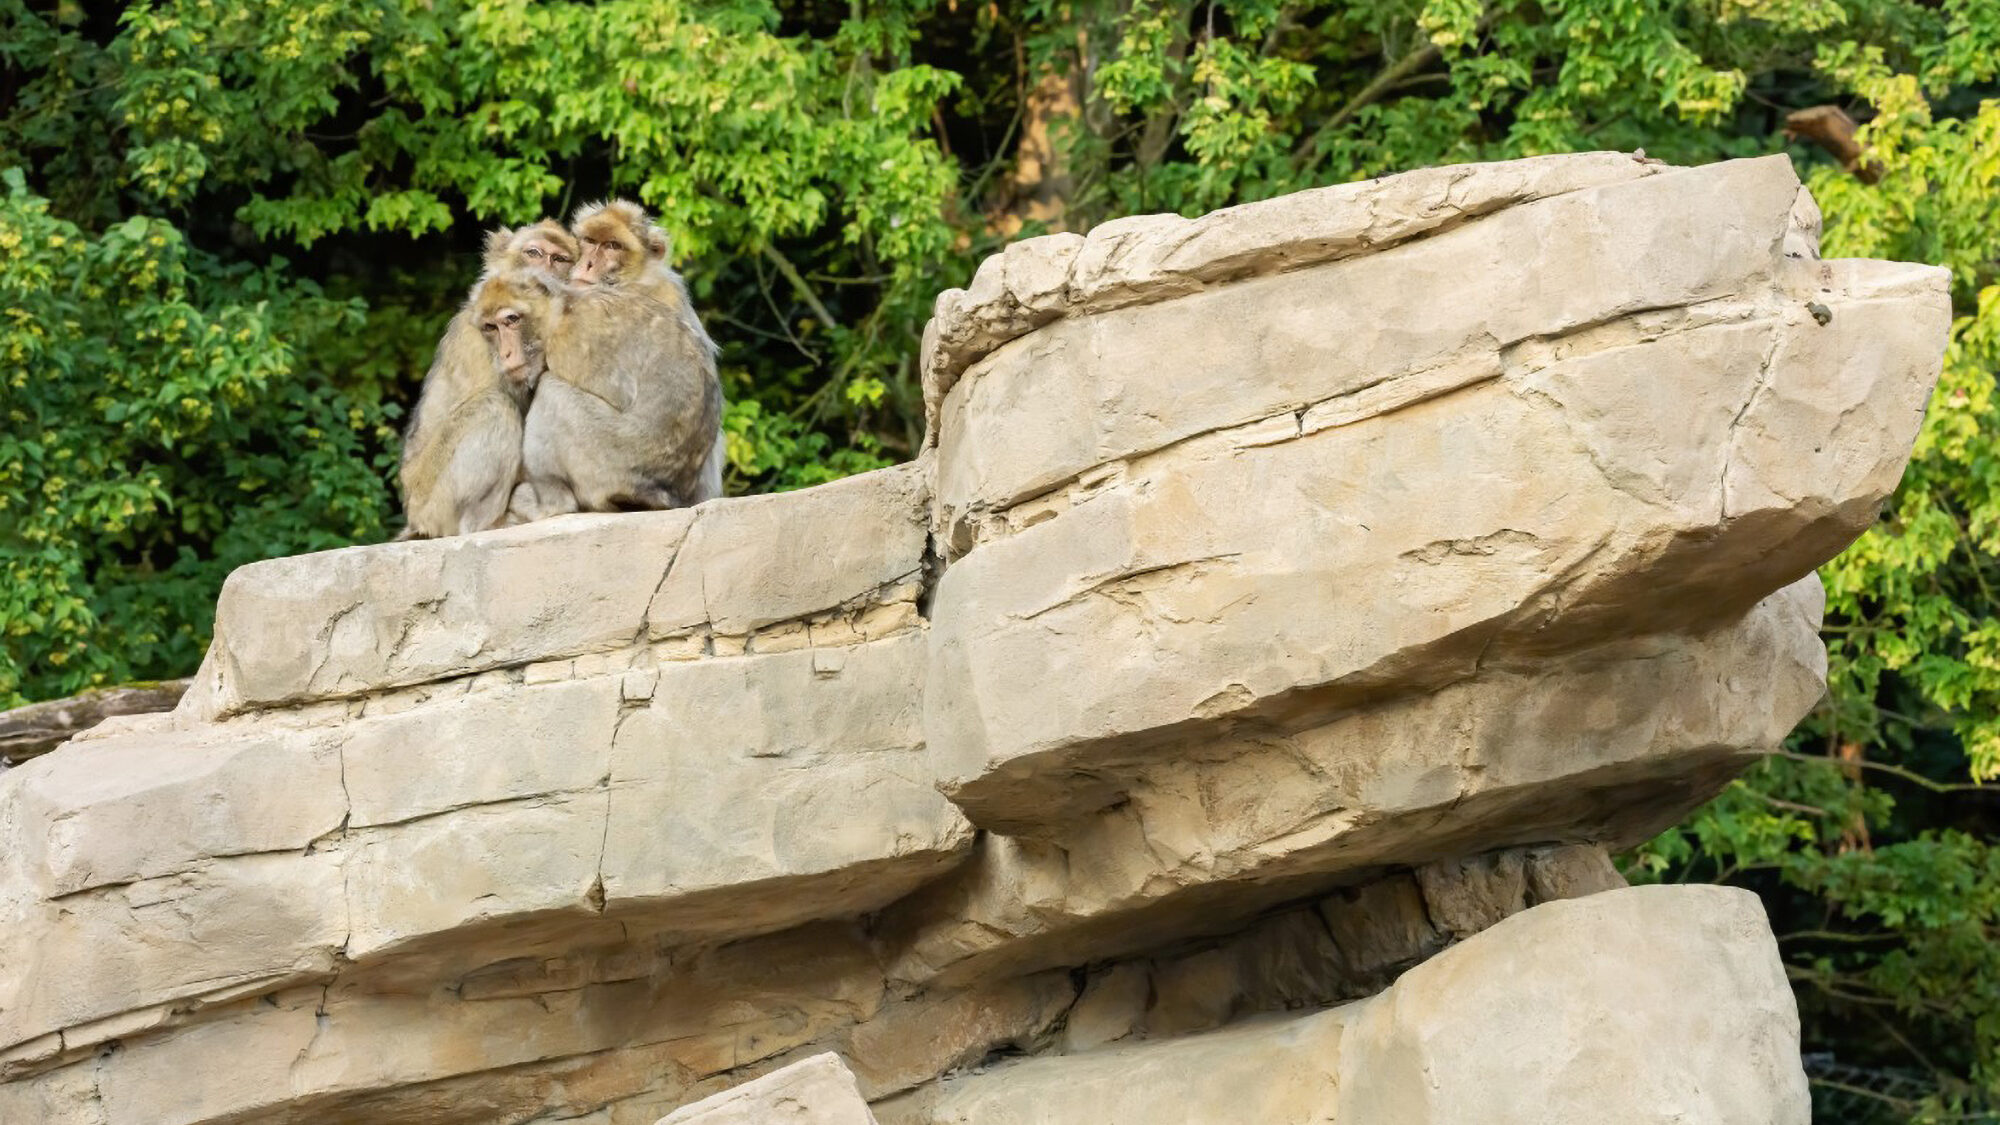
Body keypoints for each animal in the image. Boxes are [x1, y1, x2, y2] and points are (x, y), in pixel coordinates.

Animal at [398, 199, 728, 536]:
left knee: (541, 396)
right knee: (496, 405)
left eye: (612, 246)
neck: (563, 309)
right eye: (533, 253)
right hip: (430, 495)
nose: (506, 352)